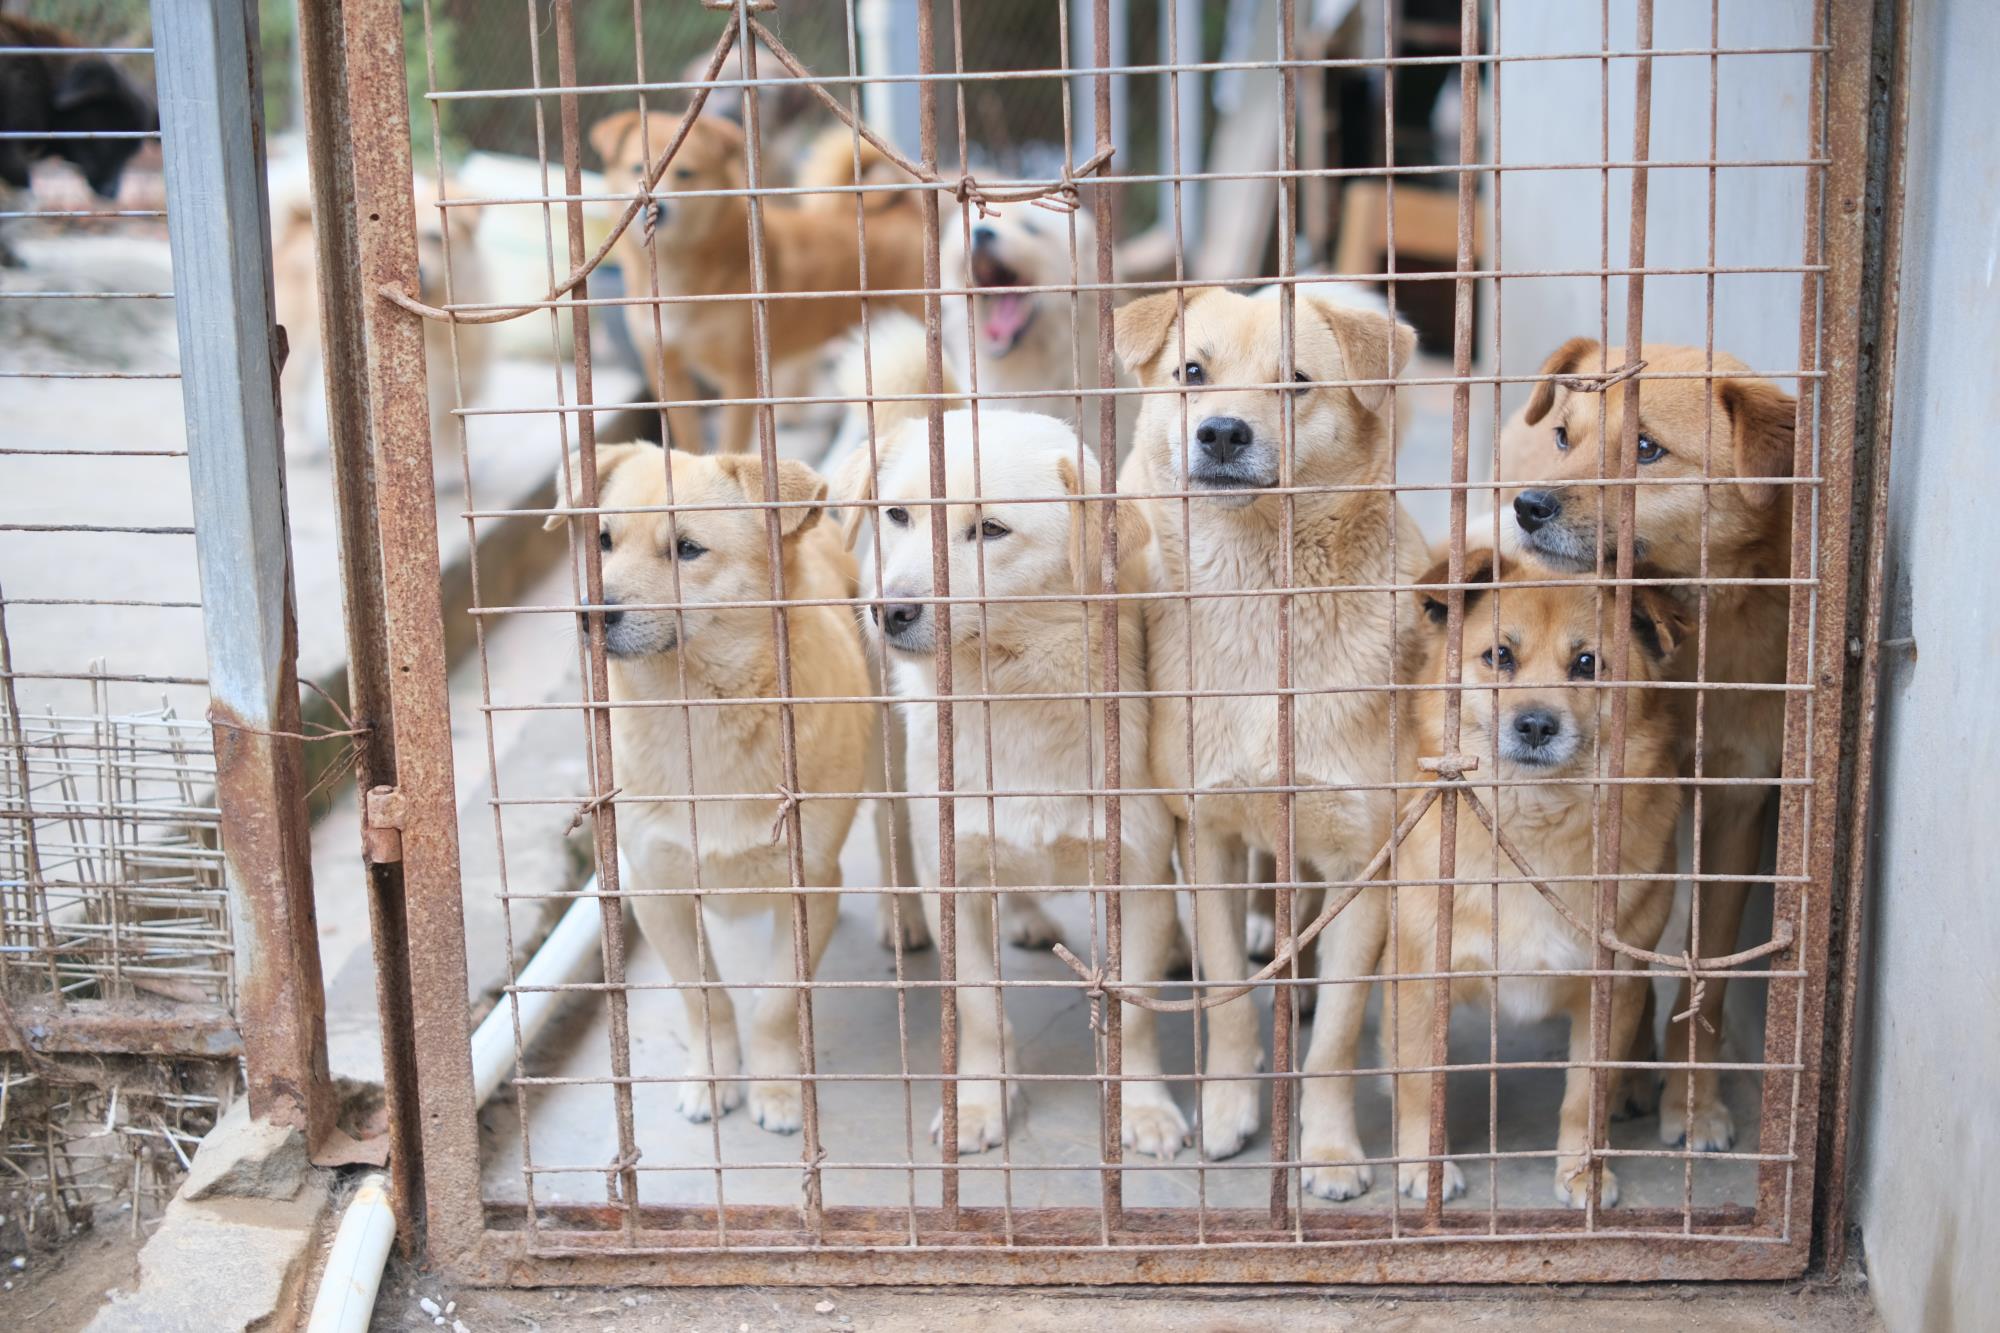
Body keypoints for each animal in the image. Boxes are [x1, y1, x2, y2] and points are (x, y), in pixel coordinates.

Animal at [548, 440, 868, 1128]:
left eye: (687, 549)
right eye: (603, 541)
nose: (590, 614)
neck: (696, 711)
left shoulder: (808, 883)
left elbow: (775, 1004)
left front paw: (776, 1091)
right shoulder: (656, 889)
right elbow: (705, 998)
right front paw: (713, 1078)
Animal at [592, 110, 928, 452]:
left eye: (686, 173)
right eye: (636, 168)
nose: (658, 210)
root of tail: (903, 209)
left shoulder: (742, 377)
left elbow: (731, 442)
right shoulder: (668, 371)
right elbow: (688, 439)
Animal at [828, 384, 1184, 1152]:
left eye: (990, 530)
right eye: (898, 515)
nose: (890, 610)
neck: (1015, 696)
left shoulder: (1142, 878)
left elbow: (1135, 1015)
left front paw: (1142, 1106)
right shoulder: (954, 882)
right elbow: (980, 1011)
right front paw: (982, 1103)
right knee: (891, 829)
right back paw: (902, 916)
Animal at [1120, 282, 1432, 1184]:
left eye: (1295, 382)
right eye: (1192, 372)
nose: (1222, 432)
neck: (1263, 602)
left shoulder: (1367, 859)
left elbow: (1336, 1037)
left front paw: (1326, 1150)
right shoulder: (1207, 837)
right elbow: (1226, 1001)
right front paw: (1229, 1109)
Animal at [1504, 338, 1800, 1144]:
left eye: (1645, 448)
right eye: (1566, 437)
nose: (1527, 506)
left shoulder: (1738, 802)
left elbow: (1708, 968)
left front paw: (1693, 1103)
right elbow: (1626, 954)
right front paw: (1628, 1072)